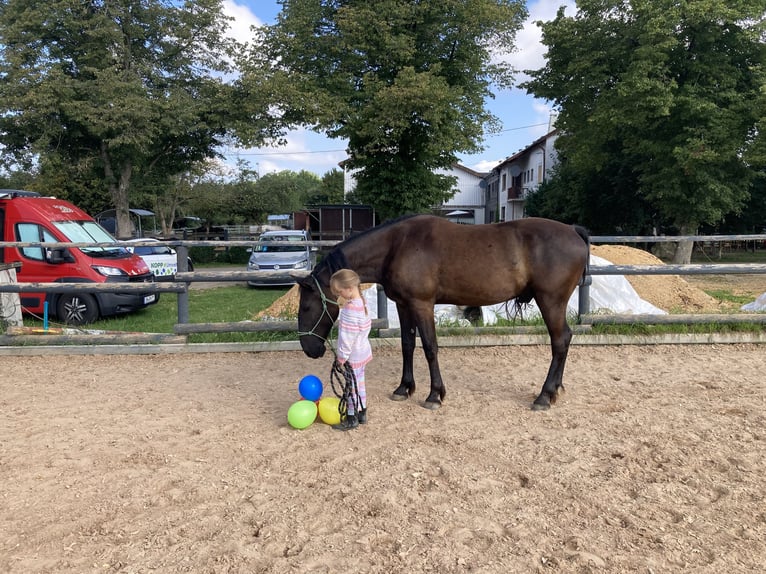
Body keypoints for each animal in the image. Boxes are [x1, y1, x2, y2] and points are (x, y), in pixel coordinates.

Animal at [297, 214, 590, 411]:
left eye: (307, 306)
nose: (309, 349)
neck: (397, 245)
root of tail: (573, 231)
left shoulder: (422, 304)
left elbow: (430, 347)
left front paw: (434, 394)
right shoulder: (404, 305)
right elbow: (407, 345)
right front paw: (404, 388)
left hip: (550, 301)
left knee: (560, 340)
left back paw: (544, 395)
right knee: (564, 340)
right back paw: (555, 390)